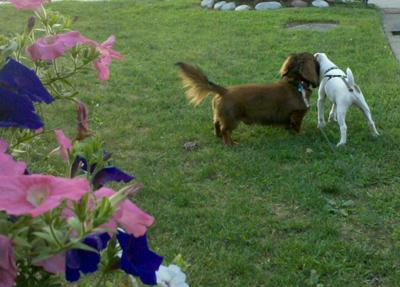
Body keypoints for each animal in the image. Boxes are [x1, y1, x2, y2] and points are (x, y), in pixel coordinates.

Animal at [176, 52, 318, 145]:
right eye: (315, 59)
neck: (295, 83)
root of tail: (224, 90)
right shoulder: (297, 114)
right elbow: (297, 125)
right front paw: (300, 134)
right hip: (232, 120)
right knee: (225, 130)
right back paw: (231, 143)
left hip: (220, 115)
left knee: (216, 123)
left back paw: (218, 136)